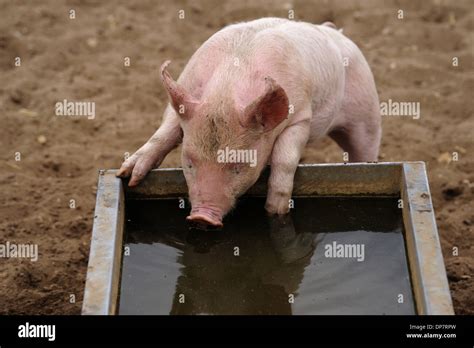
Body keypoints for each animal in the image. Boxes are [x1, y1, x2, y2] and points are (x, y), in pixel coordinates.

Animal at [117, 17, 382, 227]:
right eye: (189, 163)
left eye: (239, 166)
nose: (202, 218)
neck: (226, 91)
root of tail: (333, 30)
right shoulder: (182, 102)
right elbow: (162, 135)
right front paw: (128, 175)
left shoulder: (300, 116)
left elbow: (284, 158)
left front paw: (275, 211)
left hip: (367, 110)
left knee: (365, 145)